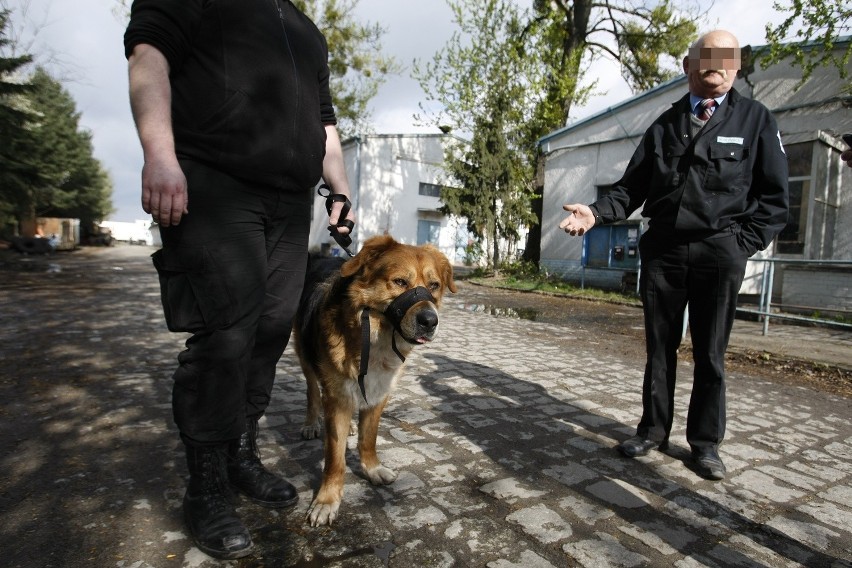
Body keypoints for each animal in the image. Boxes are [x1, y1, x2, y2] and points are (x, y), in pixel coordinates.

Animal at [292, 233, 456, 524]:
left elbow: (368, 438)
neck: (375, 335)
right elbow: (334, 457)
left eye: (434, 285)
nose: (430, 321)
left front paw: (372, 468)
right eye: (400, 282)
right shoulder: (336, 395)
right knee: (312, 391)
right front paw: (327, 499)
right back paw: (311, 423)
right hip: (306, 355)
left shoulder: (379, 392)